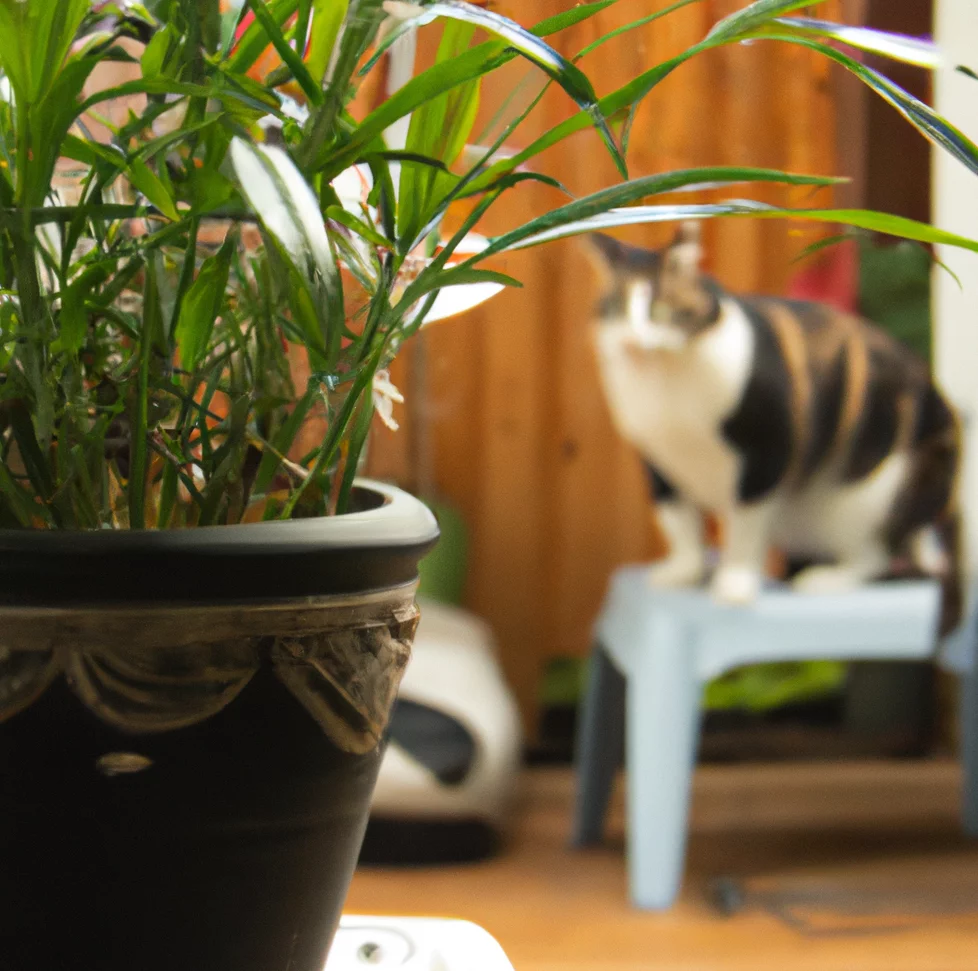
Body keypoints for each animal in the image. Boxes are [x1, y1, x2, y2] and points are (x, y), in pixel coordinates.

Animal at [588, 225, 960, 636]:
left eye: (660, 310)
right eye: (615, 309)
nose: (630, 342)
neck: (667, 387)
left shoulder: (767, 453)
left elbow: (744, 530)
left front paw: (734, 584)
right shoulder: (657, 463)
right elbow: (680, 525)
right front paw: (685, 571)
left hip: (873, 495)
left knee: (876, 555)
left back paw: (829, 578)